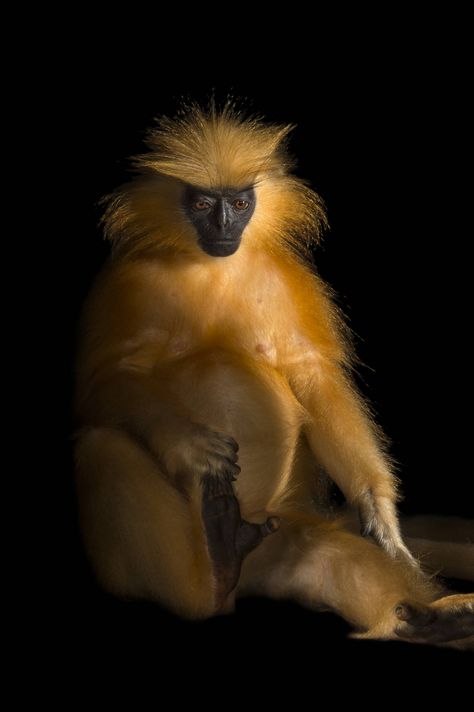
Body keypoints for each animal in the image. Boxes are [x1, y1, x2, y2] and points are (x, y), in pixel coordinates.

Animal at [74, 104, 474, 644]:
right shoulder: (130, 282)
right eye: (203, 203)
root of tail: (245, 582)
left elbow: (312, 376)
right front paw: (189, 442)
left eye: (241, 203)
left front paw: (380, 515)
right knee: (101, 449)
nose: (224, 226)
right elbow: (109, 382)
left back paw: (435, 620)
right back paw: (216, 570)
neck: (212, 266)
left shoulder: (285, 277)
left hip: (282, 539)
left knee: (331, 560)